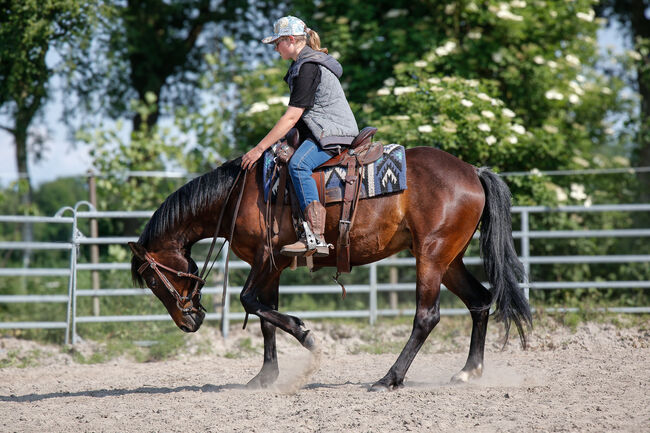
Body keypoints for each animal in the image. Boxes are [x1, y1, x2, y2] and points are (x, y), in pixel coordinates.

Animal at [128, 146, 532, 391]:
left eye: (152, 280)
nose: (188, 322)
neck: (240, 196)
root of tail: (472, 171)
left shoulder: (267, 257)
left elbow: (250, 302)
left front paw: (306, 335)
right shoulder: (272, 265)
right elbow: (264, 315)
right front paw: (266, 376)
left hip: (431, 256)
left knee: (427, 316)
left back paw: (389, 378)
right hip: (449, 259)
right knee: (479, 301)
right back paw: (468, 371)